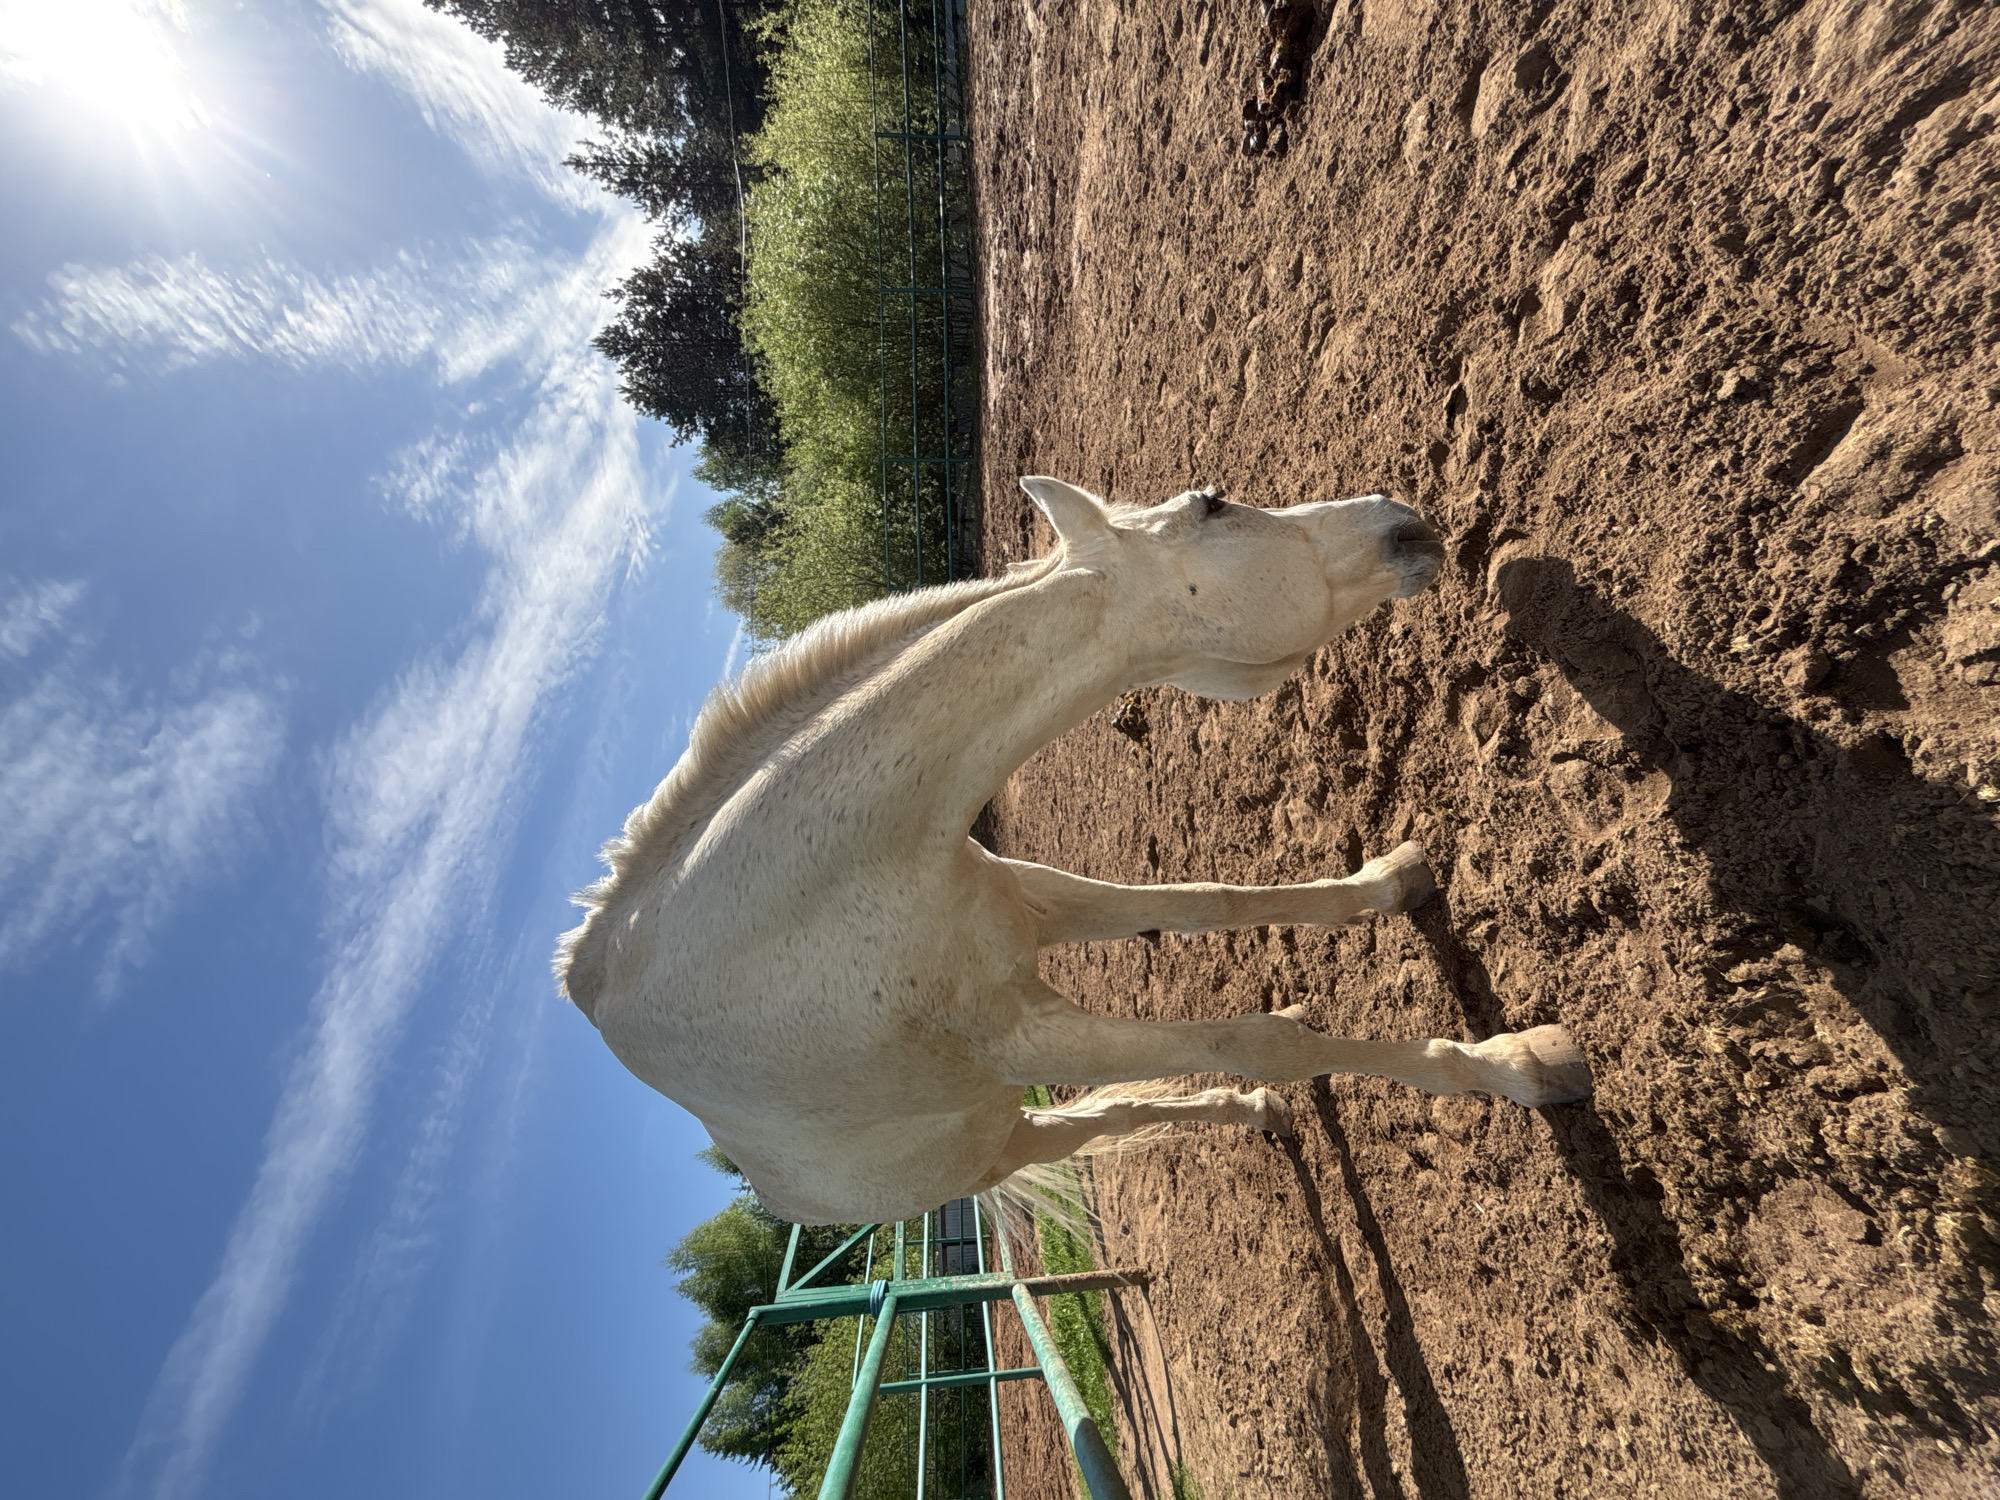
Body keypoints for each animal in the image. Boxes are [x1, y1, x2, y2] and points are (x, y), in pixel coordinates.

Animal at [558, 478, 1592, 1225]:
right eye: (1212, 504)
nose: (1401, 519)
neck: (810, 897)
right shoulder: (1023, 1034)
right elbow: (1256, 1039)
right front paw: (1520, 1065)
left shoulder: (1027, 902)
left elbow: (1203, 901)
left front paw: (1393, 878)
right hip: (998, 1138)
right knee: (1111, 1113)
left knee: (1125, 1111)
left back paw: (1253, 1116)